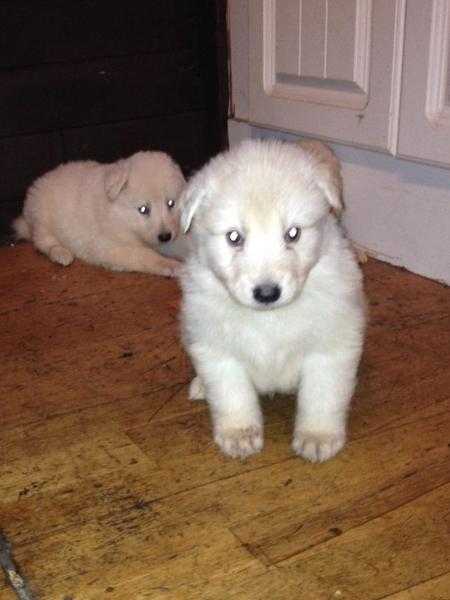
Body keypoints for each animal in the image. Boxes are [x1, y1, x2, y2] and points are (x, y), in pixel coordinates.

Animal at [13, 151, 186, 276]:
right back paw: (61, 254)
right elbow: (146, 256)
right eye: (143, 209)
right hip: (42, 217)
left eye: (171, 203)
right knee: (43, 242)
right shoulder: (112, 247)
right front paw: (172, 265)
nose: (165, 237)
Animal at [178, 138, 366, 462]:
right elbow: (231, 393)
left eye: (293, 233)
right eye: (234, 237)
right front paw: (239, 434)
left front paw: (318, 436)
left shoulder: (332, 342)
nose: (267, 293)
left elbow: (322, 393)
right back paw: (200, 385)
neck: (268, 318)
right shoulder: (215, 346)